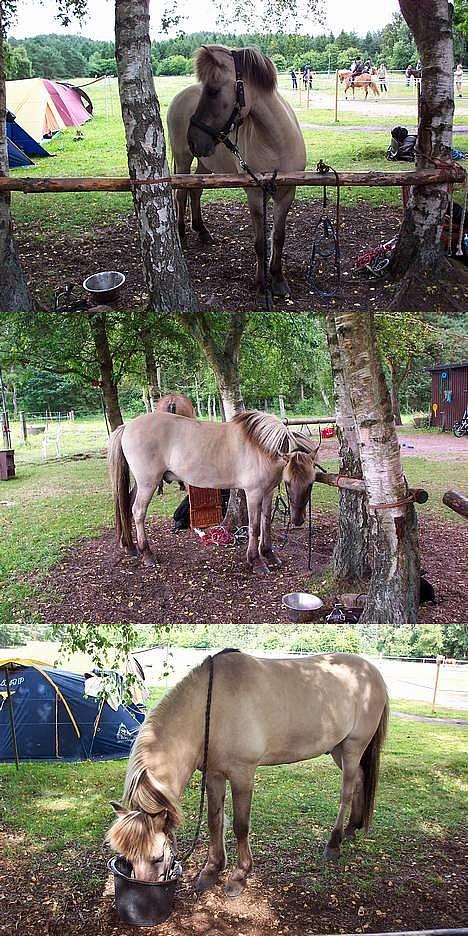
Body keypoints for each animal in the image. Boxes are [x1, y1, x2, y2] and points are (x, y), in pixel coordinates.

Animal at [107, 410, 318, 572]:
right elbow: (255, 526)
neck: (261, 448)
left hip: (140, 484)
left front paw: (268, 553)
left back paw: (130, 546)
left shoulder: (268, 491)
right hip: (148, 483)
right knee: (138, 511)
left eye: (310, 483)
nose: (298, 520)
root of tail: (128, 426)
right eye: (288, 482)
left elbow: (266, 522)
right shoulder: (253, 493)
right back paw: (147, 553)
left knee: (126, 506)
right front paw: (256, 561)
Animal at [108, 648, 390, 896]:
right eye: (127, 859)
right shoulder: (214, 775)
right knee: (360, 780)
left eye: (157, 857)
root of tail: (373, 672)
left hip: (353, 747)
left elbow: (240, 825)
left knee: (346, 792)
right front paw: (212, 870)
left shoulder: (242, 773)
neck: (211, 708)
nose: (142, 893)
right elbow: (214, 821)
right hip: (338, 749)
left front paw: (239, 875)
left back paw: (334, 843)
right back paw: (352, 828)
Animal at [168, 45, 308, 296]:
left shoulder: (286, 193)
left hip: (205, 164)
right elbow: (260, 242)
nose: (193, 139)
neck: (276, 143)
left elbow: (278, 237)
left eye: (213, 91)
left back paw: (202, 231)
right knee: (181, 193)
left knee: (195, 192)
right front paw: (262, 283)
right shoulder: (254, 194)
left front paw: (278, 278)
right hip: (184, 160)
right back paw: (181, 234)